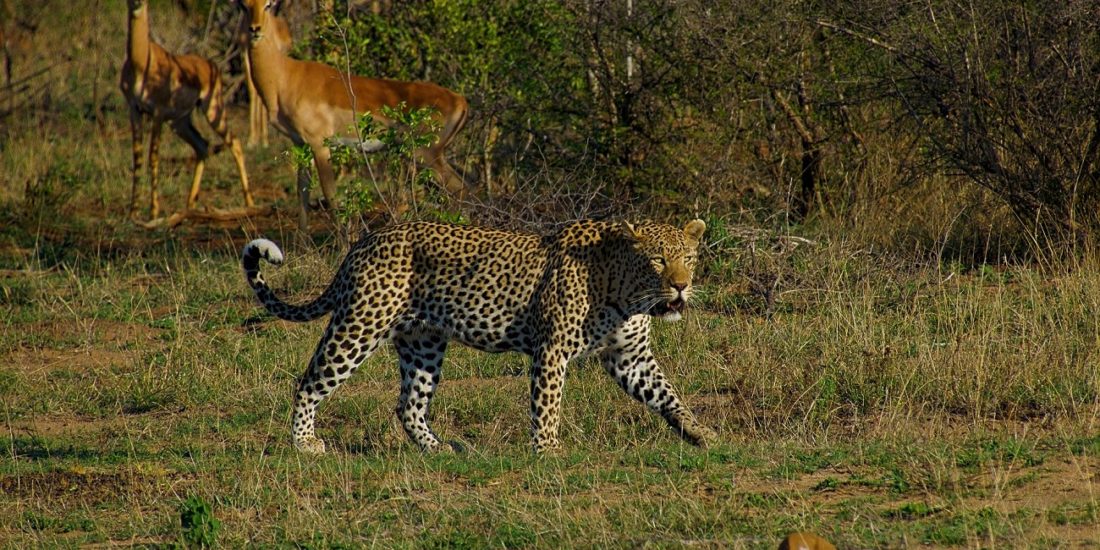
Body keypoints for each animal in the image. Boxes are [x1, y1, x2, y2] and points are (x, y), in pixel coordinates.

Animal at [241, 219, 717, 454]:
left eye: (688, 257)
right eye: (657, 260)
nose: (680, 286)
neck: (628, 291)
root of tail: (364, 241)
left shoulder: (630, 357)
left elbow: (668, 394)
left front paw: (701, 434)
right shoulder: (551, 350)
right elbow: (548, 406)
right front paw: (548, 452)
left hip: (423, 341)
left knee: (408, 404)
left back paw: (437, 450)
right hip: (360, 325)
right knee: (309, 382)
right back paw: (305, 444)